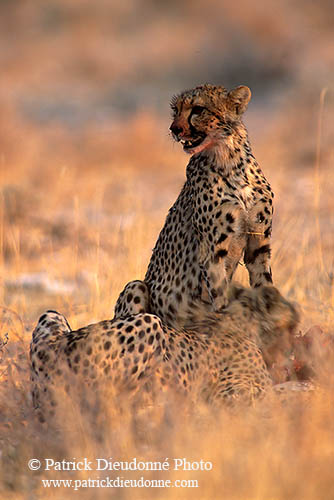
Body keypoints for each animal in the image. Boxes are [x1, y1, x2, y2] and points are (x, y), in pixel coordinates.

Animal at [30, 284, 298, 420]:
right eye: (292, 323)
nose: (293, 347)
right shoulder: (236, 392)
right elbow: (274, 395)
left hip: (50, 316)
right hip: (149, 323)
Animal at [115, 83, 274, 328]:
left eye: (198, 109)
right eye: (175, 110)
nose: (174, 129)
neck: (230, 161)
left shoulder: (259, 243)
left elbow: (265, 286)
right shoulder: (212, 250)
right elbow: (220, 297)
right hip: (137, 287)